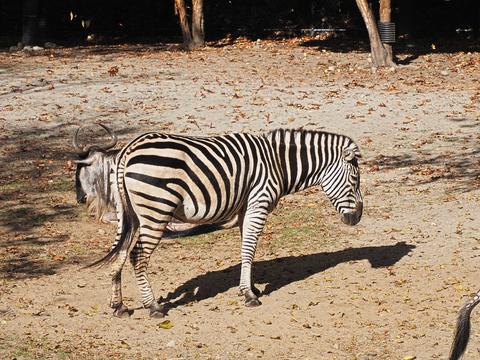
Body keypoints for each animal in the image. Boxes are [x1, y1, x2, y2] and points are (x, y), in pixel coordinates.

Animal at [90, 129, 362, 318]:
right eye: (355, 180)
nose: (357, 218)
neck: (278, 164)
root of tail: (130, 147)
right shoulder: (258, 204)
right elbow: (249, 249)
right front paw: (250, 295)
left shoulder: (245, 210)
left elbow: (246, 250)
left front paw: (249, 287)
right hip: (157, 209)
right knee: (138, 255)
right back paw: (153, 306)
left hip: (130, 213)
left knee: (120, 250)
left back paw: (119, 305)